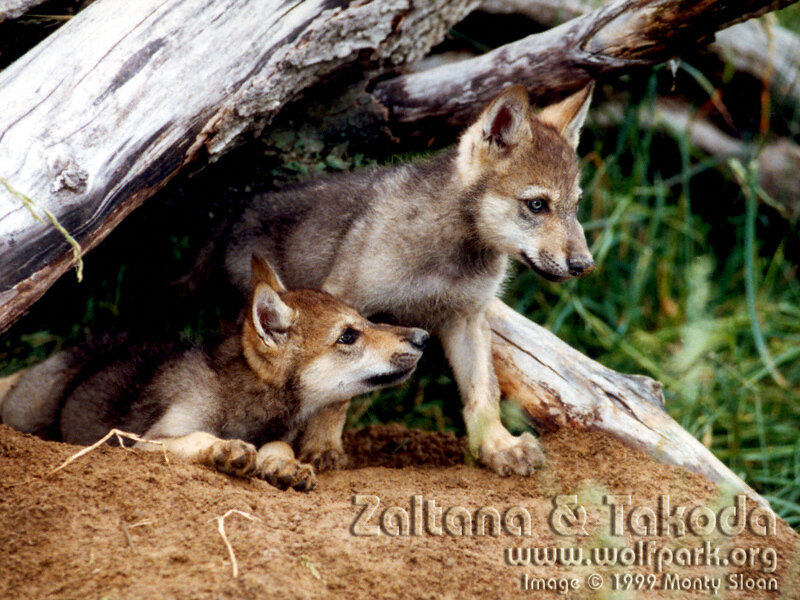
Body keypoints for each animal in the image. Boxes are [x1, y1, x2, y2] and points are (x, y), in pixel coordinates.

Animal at [1, 255, 428, 490]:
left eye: (364, 321)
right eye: (348, 335)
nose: (423, 337)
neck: (240, 400)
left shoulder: (278, 434)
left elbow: (280, 445)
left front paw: (283, 465)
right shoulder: (146, 442)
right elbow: (199, 437)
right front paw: (226, 450)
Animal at [224, 84, 595, 476]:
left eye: (575, 206)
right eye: (537, 204)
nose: (585, 265)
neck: (450, 260)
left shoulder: (467, 318)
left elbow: (483, 392)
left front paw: (499, 446)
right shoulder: (347, 301)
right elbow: (338, 393)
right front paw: (322, 448)